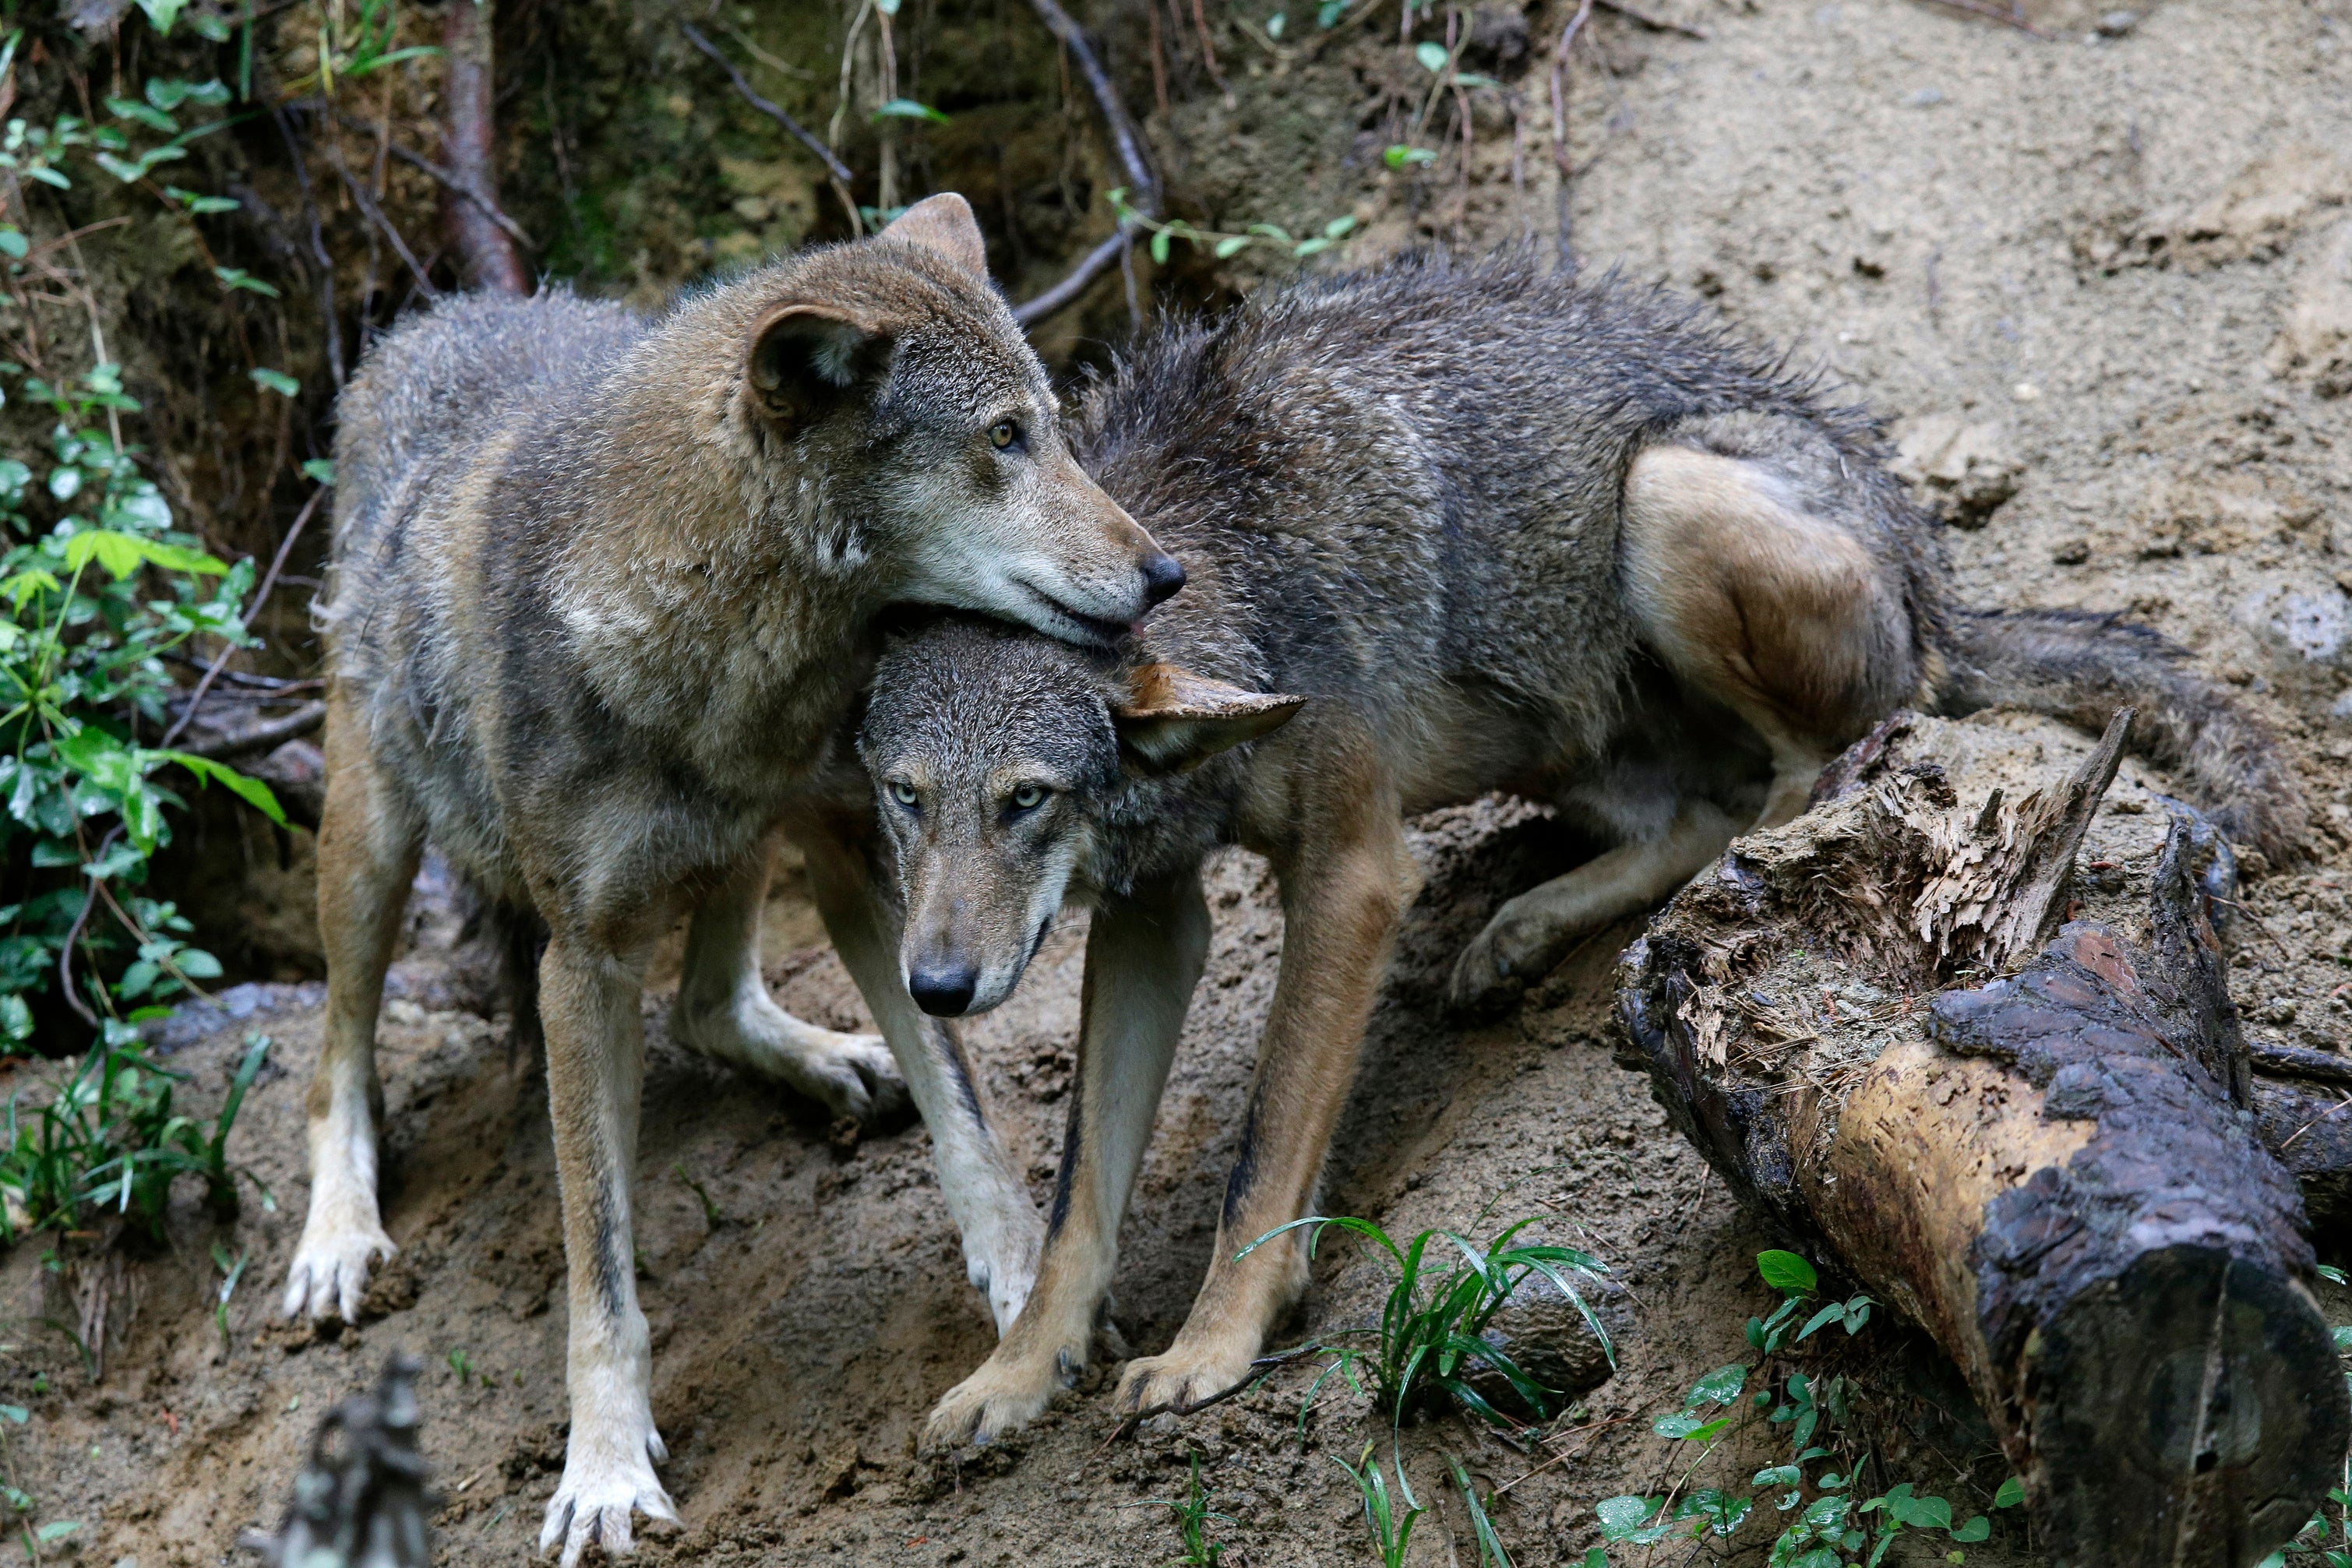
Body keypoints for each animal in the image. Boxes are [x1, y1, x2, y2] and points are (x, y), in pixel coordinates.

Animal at [291, 195, 1182, 1565]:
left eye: (1055, 427)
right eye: (1003, 439)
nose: (1163, 574)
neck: (720, 661)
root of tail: (435, 313)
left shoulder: (862, 849)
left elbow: (965, 1112)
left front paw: (1030, 1291)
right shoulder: (583, 959)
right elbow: (600, 1273)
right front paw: (603, 1472)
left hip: (750, 847)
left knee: (712, 1002)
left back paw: (832, 1060)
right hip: (370, 842)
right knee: (337, 1048)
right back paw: (339, 1237)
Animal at [846, 250, 2306, 1449]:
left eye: (1027, 800)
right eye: (903, 799)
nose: (934, 989)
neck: (1222, 563)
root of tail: (1924, 562)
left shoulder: (1349, 872)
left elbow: (1260, 1156)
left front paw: (1209, 1346)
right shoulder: (1151, 911)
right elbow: (1073, 1200)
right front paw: (1017, 1374)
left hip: (1661, 502)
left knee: (1807, 774)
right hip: (1554, 721)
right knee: (1696, 807)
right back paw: (1523, 928)